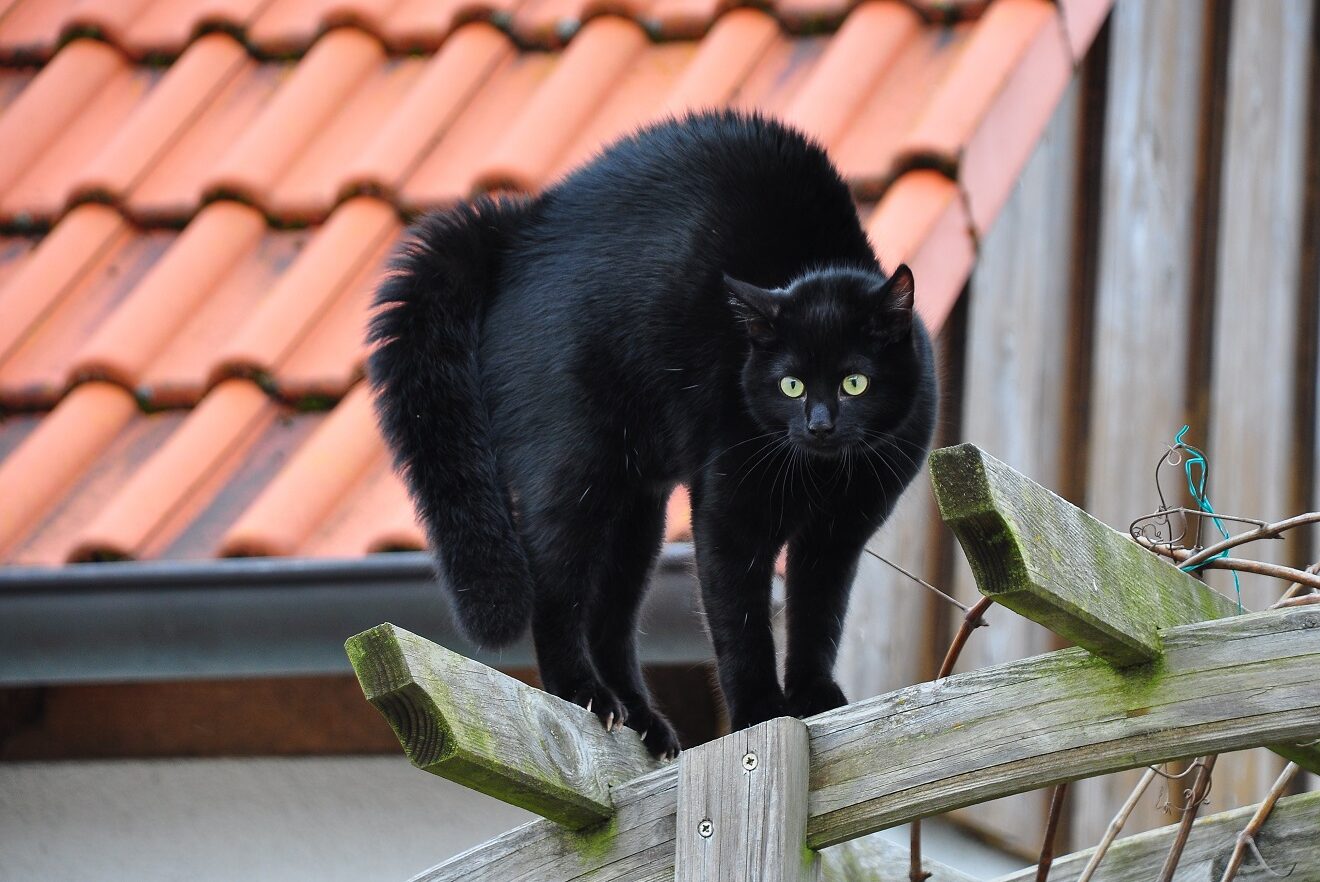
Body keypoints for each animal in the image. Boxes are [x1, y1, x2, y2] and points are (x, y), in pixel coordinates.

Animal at [366, 110, 934, 760]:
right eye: (791, 384)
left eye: (854, 382)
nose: (819, 423)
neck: (820, 473)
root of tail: (514, 234)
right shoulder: (730, 518)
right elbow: (740, 621)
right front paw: (761, 712)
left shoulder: (837, 537)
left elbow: (819, 617)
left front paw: (814, 696)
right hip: (575, 475)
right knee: (556, 594)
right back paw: (583, 694)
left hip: (636, 513)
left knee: (609, 620)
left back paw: (642, 721)